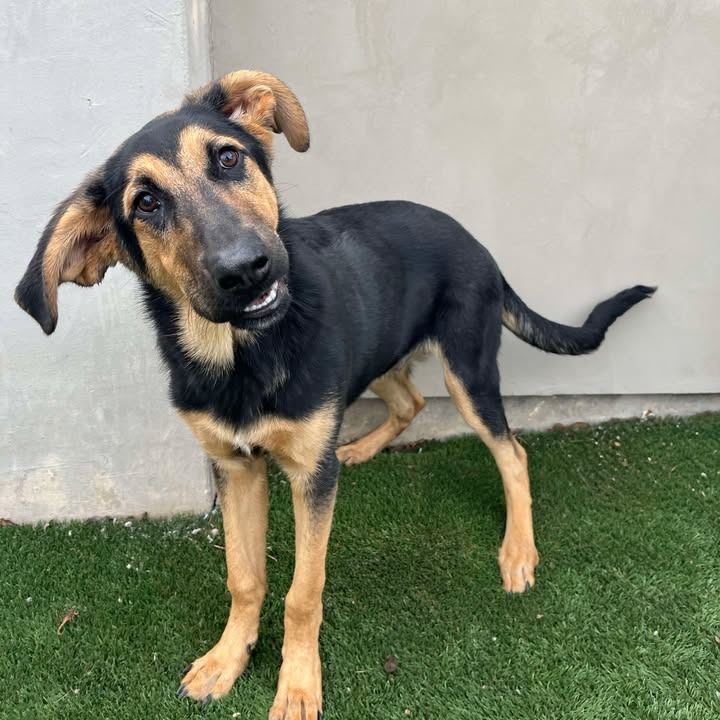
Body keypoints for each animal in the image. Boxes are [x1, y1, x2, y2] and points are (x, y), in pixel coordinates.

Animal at [14, 69, 656, 720]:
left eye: (227, 158)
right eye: (145, 203)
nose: (246, 270)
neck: (240, 355)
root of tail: (477, 243)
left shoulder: (308, 476)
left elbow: (303, 591)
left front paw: (297, 684)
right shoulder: (235, 467)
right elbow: (244, 578)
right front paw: (228, 658)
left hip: (467, 370)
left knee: (512, 452)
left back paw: (518, 552)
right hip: (377, 353)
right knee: (410, 402)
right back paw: (361, 448)